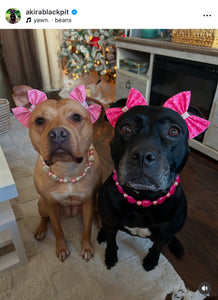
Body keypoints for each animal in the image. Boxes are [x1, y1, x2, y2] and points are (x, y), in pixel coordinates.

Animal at [12, 84, 102, 260]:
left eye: (76, 117)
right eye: (40, 120)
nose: (58, 134)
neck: (67, 169)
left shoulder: (88, 201)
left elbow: (87, 228)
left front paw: (87, 247)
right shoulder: (51, 204)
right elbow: (57, 228)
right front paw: (61, 248)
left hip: (96, 200)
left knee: (96, 212)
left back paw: (100, 221)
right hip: (41, 203)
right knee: (44, 217)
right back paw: (41, 230)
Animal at [97, 91, 209, 270]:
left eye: (174, 131)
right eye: (126, 128)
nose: (143, 155)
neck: (142, 200)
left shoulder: (163, 235)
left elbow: (157, 248)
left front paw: (151, 261)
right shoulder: (110, 224)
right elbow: (112, 242)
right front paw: (110, 256)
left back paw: (177, 246)